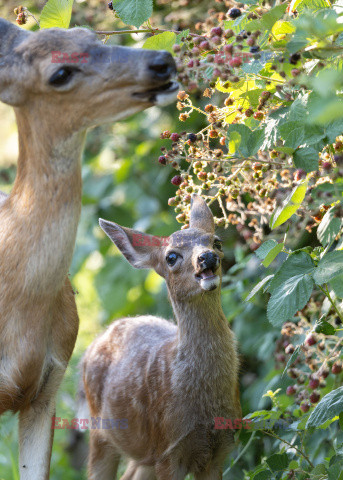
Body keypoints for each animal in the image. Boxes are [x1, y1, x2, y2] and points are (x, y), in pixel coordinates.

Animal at [82, 195, 242, 480]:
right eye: (171, 257)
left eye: (216, 242)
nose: (207, 257)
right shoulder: (168, 447)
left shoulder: (219, 449)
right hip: (100, 431)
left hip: (144, 456)